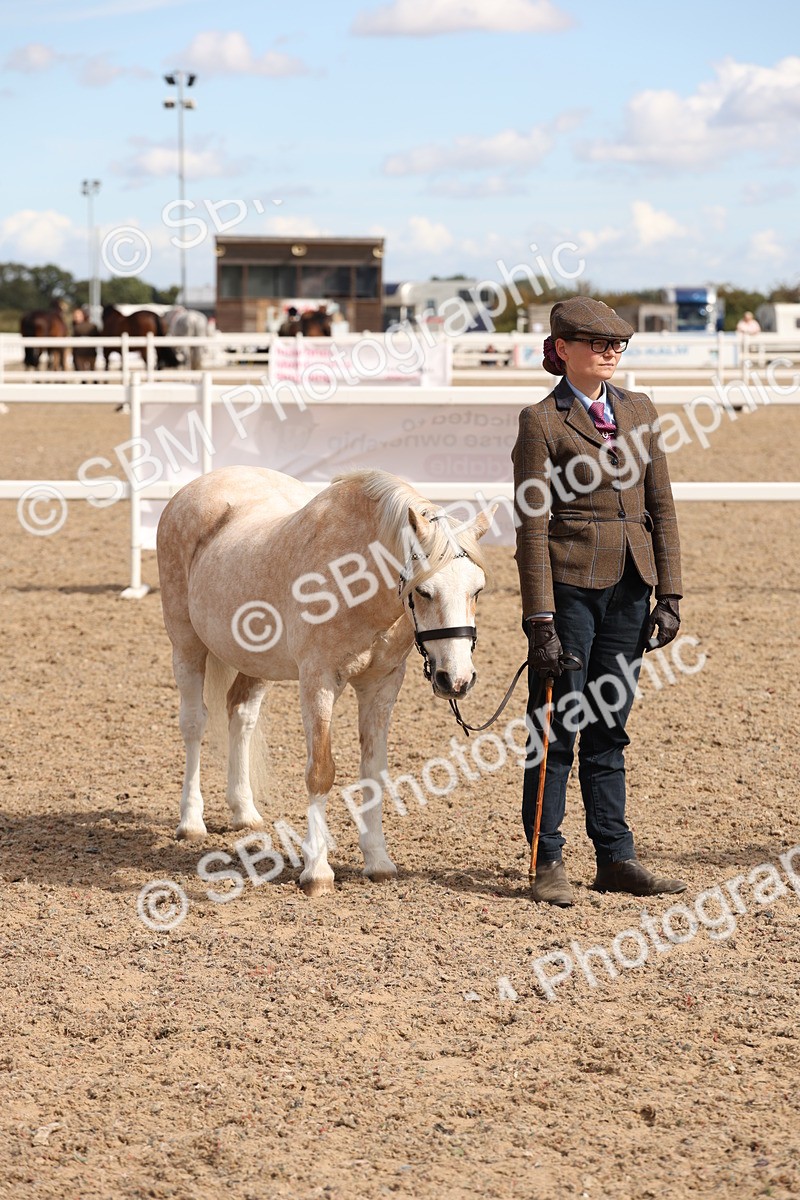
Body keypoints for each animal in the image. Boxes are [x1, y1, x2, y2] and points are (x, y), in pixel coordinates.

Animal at [157, 467, 494, 896]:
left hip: (254, 662)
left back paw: (244, 812)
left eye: (477, 590)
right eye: (423, 590)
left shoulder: (382, 685)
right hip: (186, 644)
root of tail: (194, 488)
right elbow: (321, 772)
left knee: (241, 716)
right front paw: (316, 871)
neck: (355, 581)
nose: (457, 679)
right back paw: (191, 821)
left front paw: (378, 861)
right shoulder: (318, 681)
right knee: (194, 724)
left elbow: (374, 773)